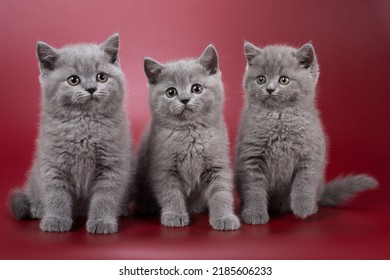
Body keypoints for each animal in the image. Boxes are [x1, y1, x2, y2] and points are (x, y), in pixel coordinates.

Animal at [7, 33, 132, 234]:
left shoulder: (112, 164)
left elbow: (105, 196)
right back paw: (38, 209)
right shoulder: (53, 163)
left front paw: (102, 221)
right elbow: (55, 194)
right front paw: (55, 220)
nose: (91, 88)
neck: (85, 123)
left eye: (102, 77)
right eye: (73, 80)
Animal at [136, 45, 241, 230]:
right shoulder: (164, 168)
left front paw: (224, 217)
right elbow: (170, 193)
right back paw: (146, 206)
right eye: (171, 92)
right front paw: (175, 215)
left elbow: (221, 192)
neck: (190, 132)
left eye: (196, 88)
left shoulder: (217, 165)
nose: (185, 99)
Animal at [235, 42, 378, 225]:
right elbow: (253, 187)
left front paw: (304, 209)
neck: (278, 117)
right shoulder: (251, 156)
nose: (270, 89)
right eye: (261, 79)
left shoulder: (310, 154)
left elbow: (304, 183)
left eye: (284, 80)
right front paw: (254, 213)